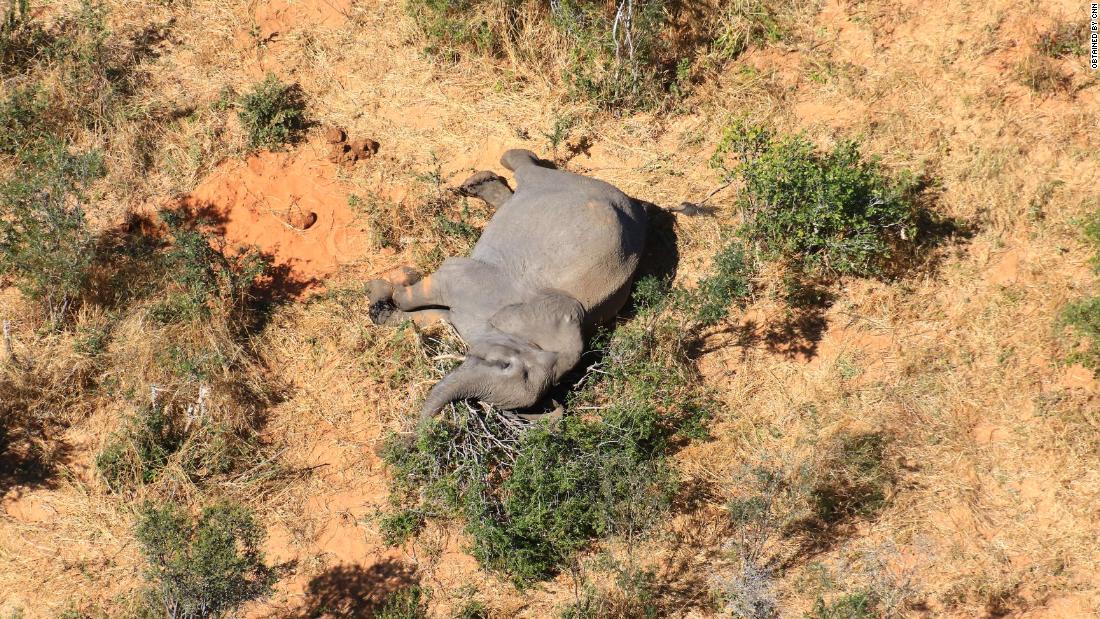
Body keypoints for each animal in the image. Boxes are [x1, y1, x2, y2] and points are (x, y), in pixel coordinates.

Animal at [365, 147, 646, 424]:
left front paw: (379, 303)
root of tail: (632, 203)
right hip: (562, 183)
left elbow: (434, 315)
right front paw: (388, 285)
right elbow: (430, 287)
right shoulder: (479, 284)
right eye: (505, 365)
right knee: (526, 170)